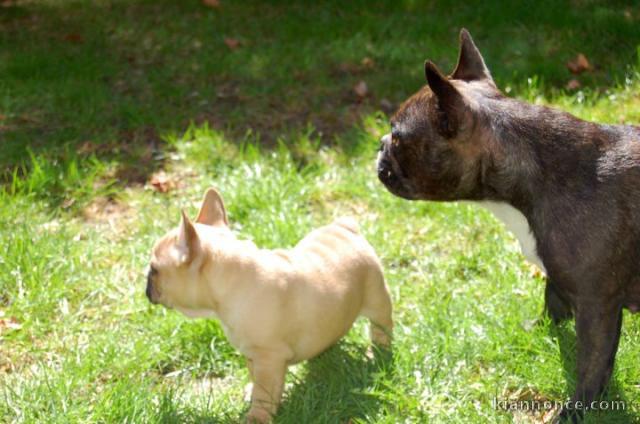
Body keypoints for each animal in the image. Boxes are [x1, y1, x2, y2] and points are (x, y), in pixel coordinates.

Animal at [147, 190, 392, 424]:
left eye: (155, 269)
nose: (146, 282)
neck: (233, 279)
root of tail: (345, 228)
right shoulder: (253, 355)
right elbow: (255, 378)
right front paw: (252, 392)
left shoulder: (269, 357)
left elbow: (264, 392)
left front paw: (257, 416)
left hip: (377, 297)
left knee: (381, 326)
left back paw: (378, 351)